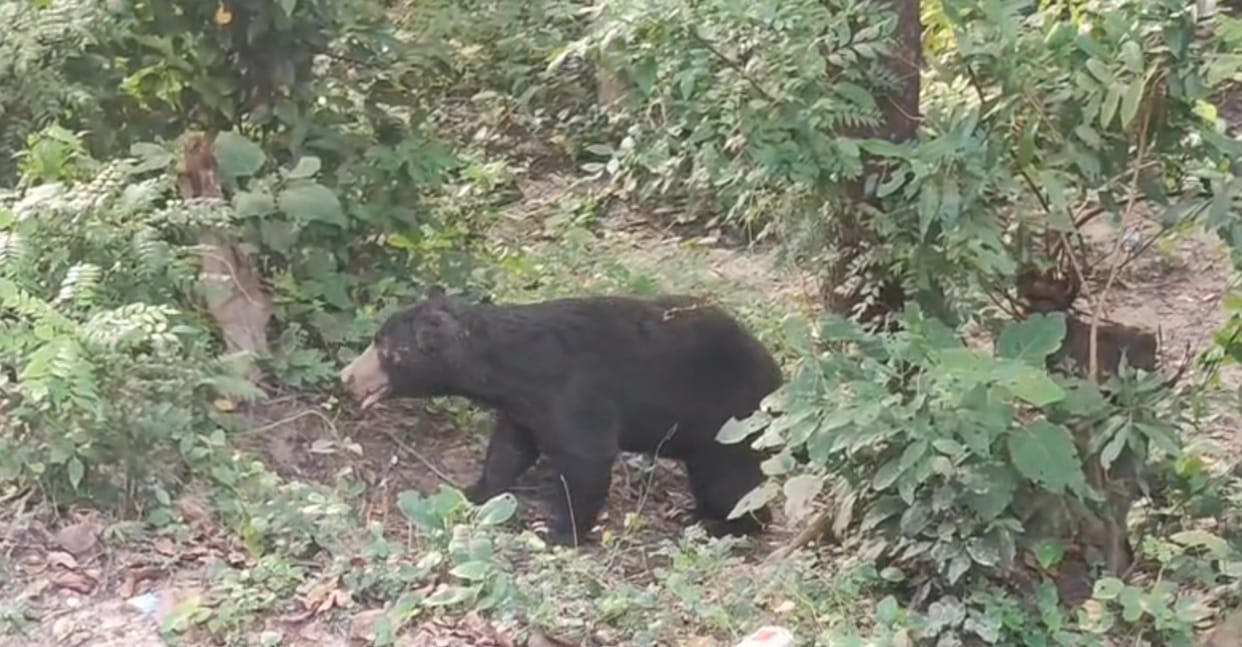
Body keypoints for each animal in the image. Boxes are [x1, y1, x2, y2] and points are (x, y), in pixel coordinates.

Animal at [339, 286, 783, 547]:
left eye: (386, 350)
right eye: (378, 341)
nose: (347, 377)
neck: (517, 369)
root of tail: (777, 374)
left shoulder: (575, 392)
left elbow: (586, 458)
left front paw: (560, 530)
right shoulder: (526, 406)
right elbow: (510, 448)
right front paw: (475, 490)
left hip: (730, 419)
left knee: (732, 480)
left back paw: (725, 524)